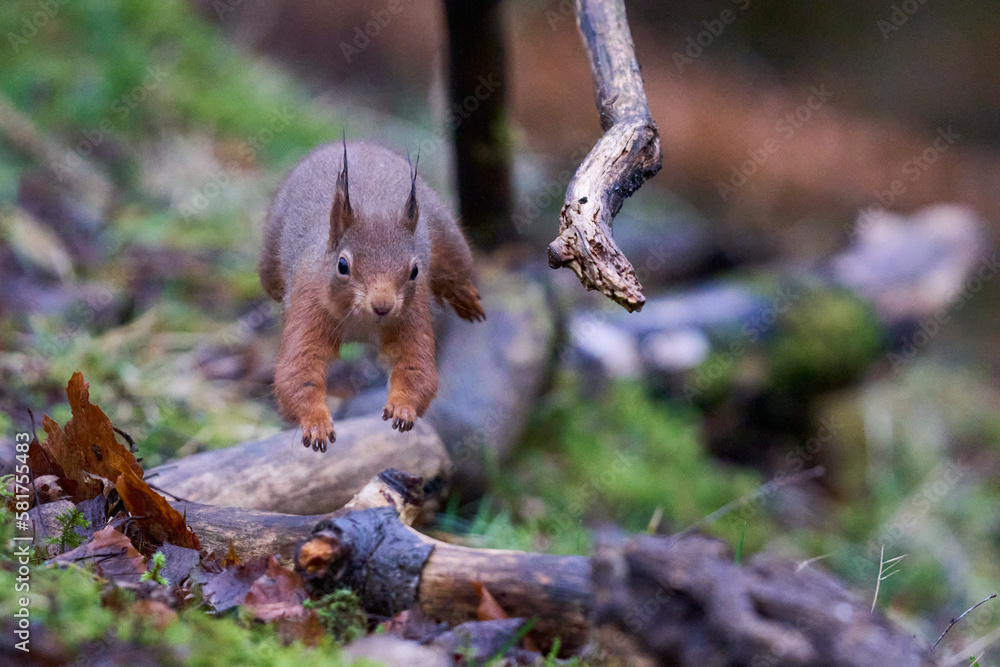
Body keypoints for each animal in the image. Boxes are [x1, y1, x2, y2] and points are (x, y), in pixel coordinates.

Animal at [259, 138, 485, 452]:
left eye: (415, 271)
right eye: (342, 265)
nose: (383, 305)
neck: (363, 322)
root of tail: (362, 145)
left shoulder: (411, 314)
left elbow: (417, 368)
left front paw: (403, 408)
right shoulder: (309, 305)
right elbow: (298, 372)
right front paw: (316, 423)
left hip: (449, 237)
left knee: (455, 271)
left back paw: (466, 298)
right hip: (269, 265)